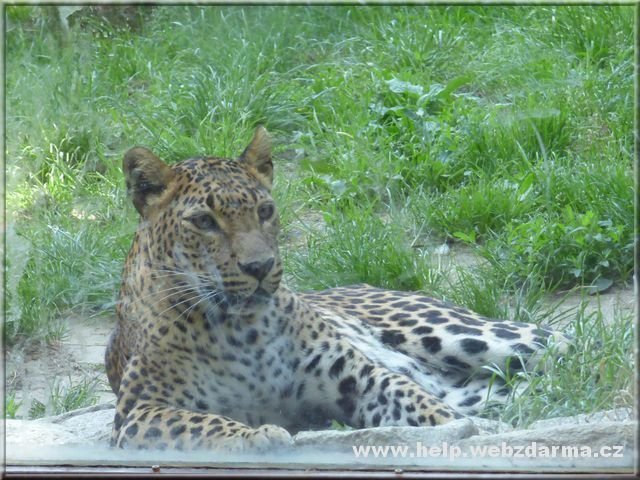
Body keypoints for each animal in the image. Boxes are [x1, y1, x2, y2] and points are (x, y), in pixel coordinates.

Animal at [105, 126, 570, 452]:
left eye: (265, 211)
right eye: (204, 222)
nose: (260, 267)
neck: (241, 329)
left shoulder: (354, 374)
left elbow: (419, 403)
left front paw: (471, 431)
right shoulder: (137, 413)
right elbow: (198, 423)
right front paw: (258, 437)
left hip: (453, 333)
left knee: (566, 342)